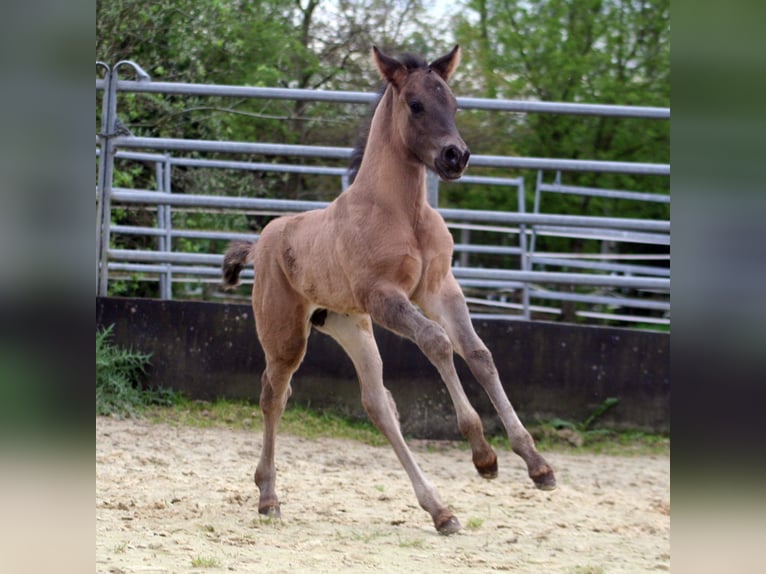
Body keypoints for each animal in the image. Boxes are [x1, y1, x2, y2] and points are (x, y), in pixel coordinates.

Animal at [224, 45, 560, 536]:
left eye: (454, 103)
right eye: (416, 104)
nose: (456, 156)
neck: (404, 212)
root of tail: (262, 241)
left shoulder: (441, 290)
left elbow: (478, 354)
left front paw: (536, 464)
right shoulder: (385, 298)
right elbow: (437, 343)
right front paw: (482, 453)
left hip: (351, 326)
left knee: (377, 403)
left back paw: (440, 510)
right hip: (286, 336)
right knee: (273, 395)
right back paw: (268, 498)